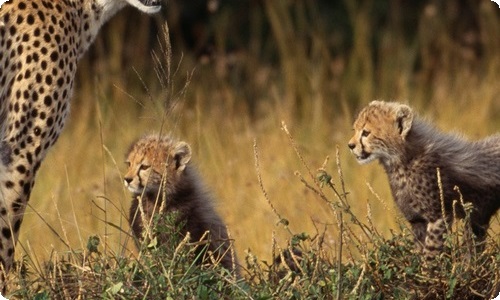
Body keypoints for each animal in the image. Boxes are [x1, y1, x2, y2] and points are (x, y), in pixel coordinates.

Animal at [348, 102, 500, 258]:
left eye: (366, 133)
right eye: (355, 130)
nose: (350, 145)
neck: (403, 160)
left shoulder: (439, 217)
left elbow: (430, 252)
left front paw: (428, 265)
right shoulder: (418, 221)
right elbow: (418, 251)